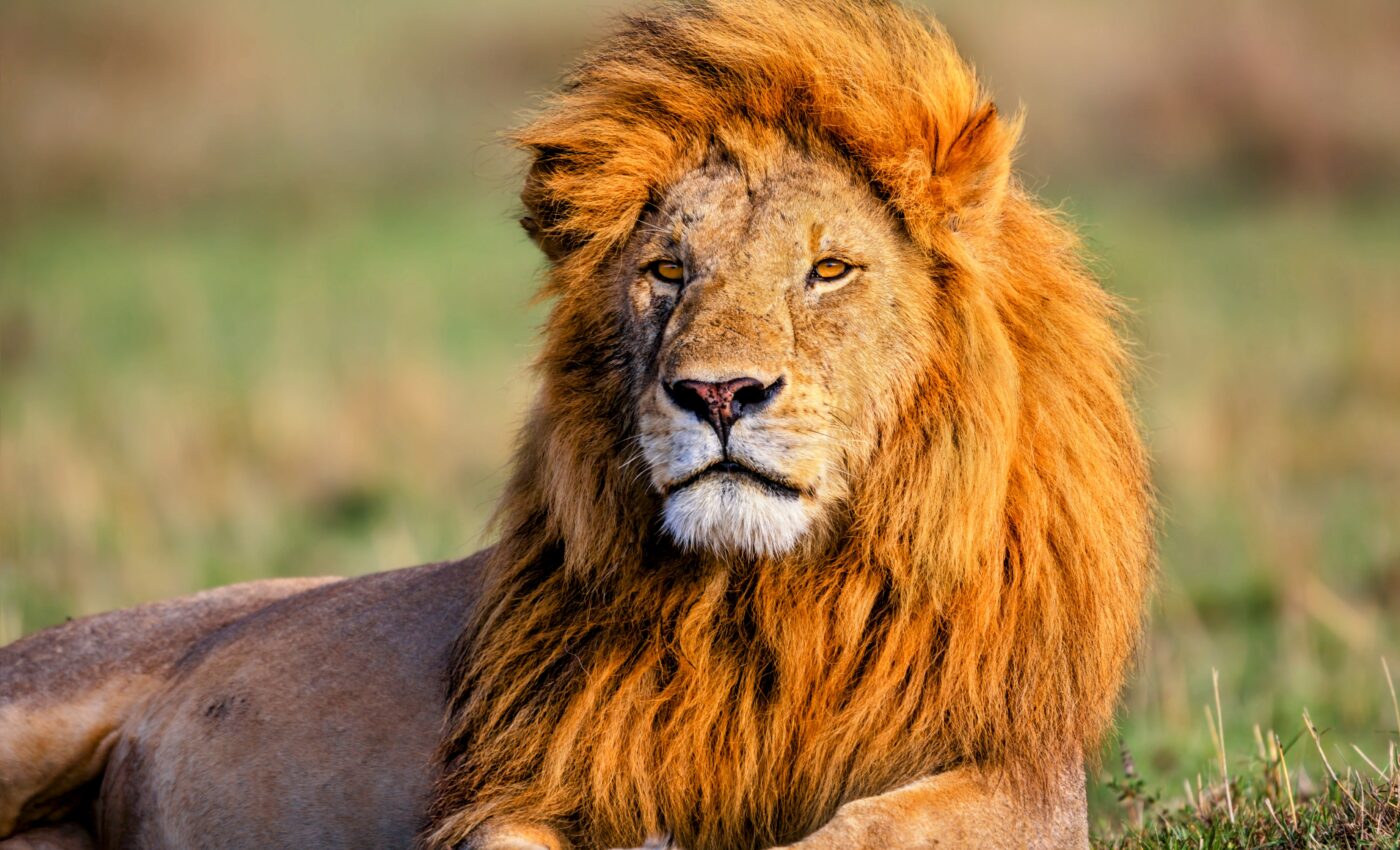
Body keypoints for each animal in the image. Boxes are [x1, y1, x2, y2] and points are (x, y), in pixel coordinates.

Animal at [0, 1, 1153, 849]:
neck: (764, 602)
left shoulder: (1017, 774)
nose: (718, 395)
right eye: (667, 271)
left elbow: (864, 831)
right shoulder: (521, 786)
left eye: (829, 269)